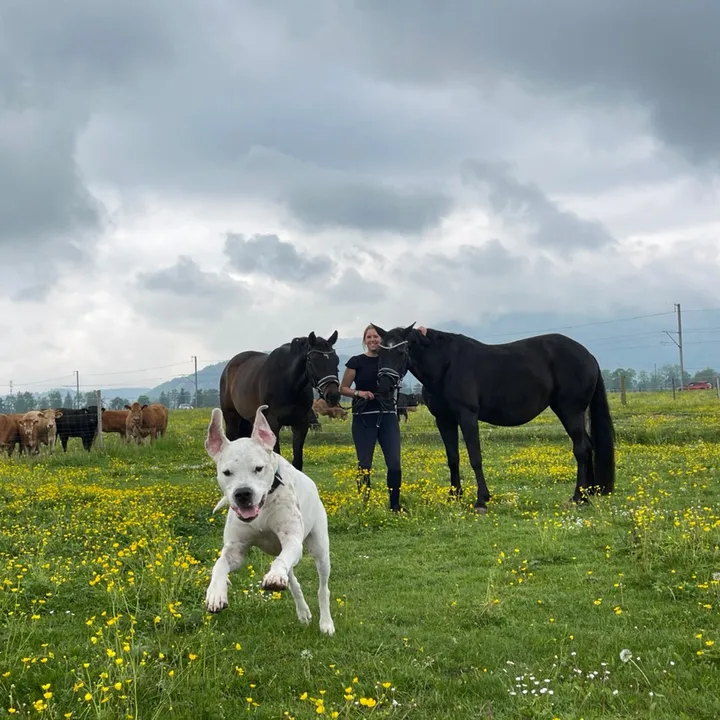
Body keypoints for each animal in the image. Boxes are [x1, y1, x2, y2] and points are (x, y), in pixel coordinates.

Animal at [219, 331, 341, 471]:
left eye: (336, 360)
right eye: (314, 361)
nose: (333, 396)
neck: (288, 383)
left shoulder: (301, 424)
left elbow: (297, 461)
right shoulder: (273, 424)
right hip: (231, 418)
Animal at [371, 323, 615, 513]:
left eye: (401, 352)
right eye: (380, 353)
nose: (384, 388)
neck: (446, 365)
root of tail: (588, 356)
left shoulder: (467, 415)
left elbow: (475, 457)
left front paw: (481, 500)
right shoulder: (444, 419)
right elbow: (453, 458)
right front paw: (454, 496)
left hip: (570, 410)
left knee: (581, 449)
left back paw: (577, 497)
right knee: (588, 446)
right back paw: (588, 494)